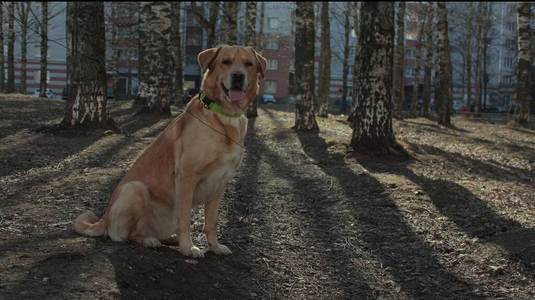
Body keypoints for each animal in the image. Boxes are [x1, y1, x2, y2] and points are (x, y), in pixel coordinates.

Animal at [74, 45, 266, 256]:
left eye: (248, 64)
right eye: (226, 61)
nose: (238, 76)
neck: (225, 116)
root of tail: (104, 218)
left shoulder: (220, 183)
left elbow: (211, 222)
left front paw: (214, 247)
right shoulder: (187, 177)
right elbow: (186, 219)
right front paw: (188, 247)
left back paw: (169, 239)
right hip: (135, 188)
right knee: (126, 234)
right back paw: (149, 240)